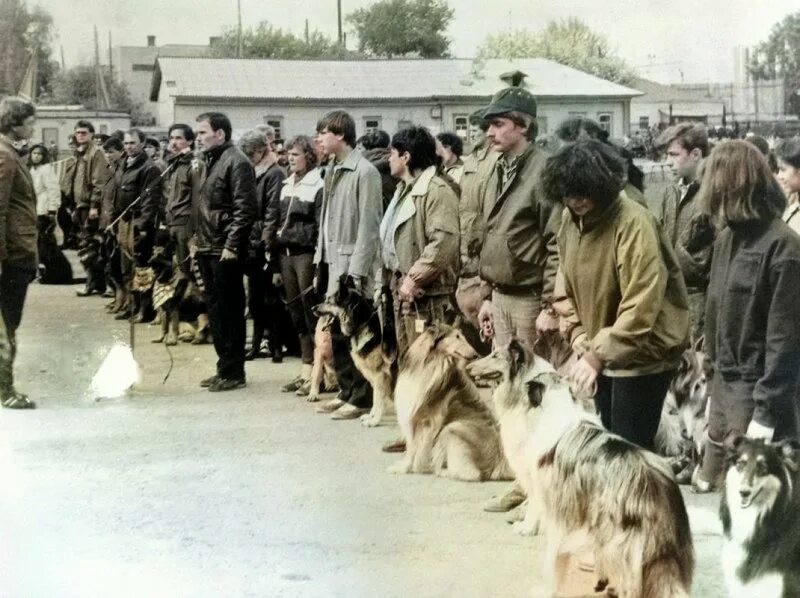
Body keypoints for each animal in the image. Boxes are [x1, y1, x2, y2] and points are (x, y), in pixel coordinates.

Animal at [316, 278, 396, 428]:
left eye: (329, 301)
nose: (312, 308)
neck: (361, 326)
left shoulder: (379, 376)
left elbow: (378, 401)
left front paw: (374, 421)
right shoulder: (374, 378)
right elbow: (375, 401)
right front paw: (371, 416)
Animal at [388, 326, 512, 486]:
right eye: (457, 337)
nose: (475, 355)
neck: (434, 362)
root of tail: (501, 462)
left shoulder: (422, 420)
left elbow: (413, 447)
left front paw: (405, 468)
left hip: (452, 428)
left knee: (473, 474)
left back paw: (441, 470)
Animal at [468, 342, 692, 598]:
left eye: (495, 355)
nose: (468, 367)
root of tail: (658, 486)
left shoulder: (549, 494)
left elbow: (545, 535)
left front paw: (527, 530)